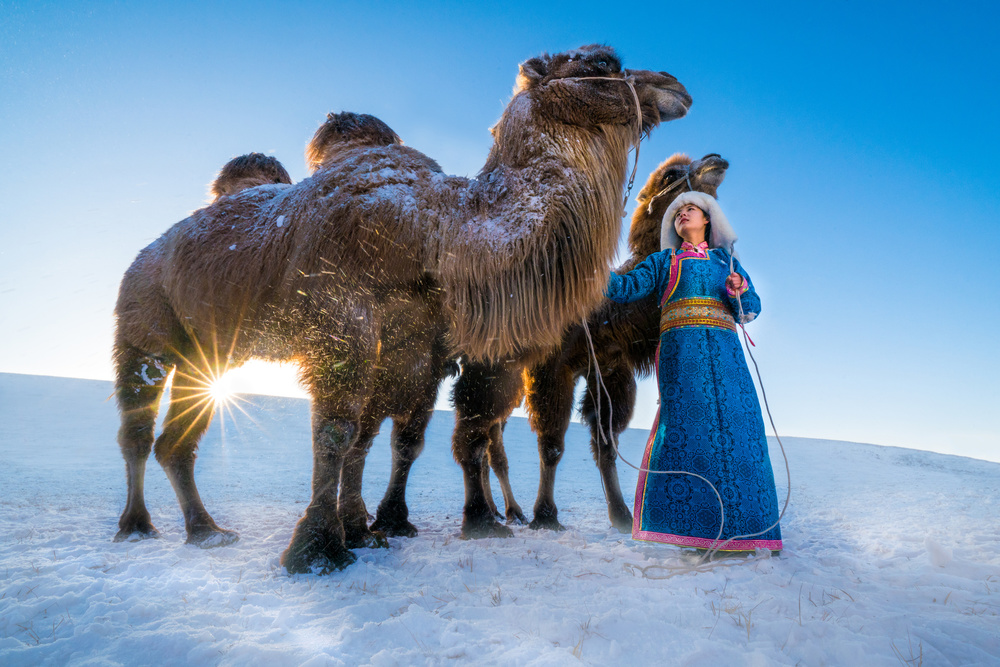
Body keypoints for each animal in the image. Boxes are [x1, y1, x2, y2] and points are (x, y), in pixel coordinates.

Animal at [109, 43, 688, 576]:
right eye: (603, 61)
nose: (675, 85)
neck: (439, 228)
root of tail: (145, 254)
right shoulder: (343, 316)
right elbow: (338, 430)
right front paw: (317, 548)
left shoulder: (412, 343)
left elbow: (377, 436)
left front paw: (365, 527)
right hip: (142, 328)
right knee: (137, 428)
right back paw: (137, 526)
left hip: (202, 351)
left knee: (177, 440)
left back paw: (206, 530)